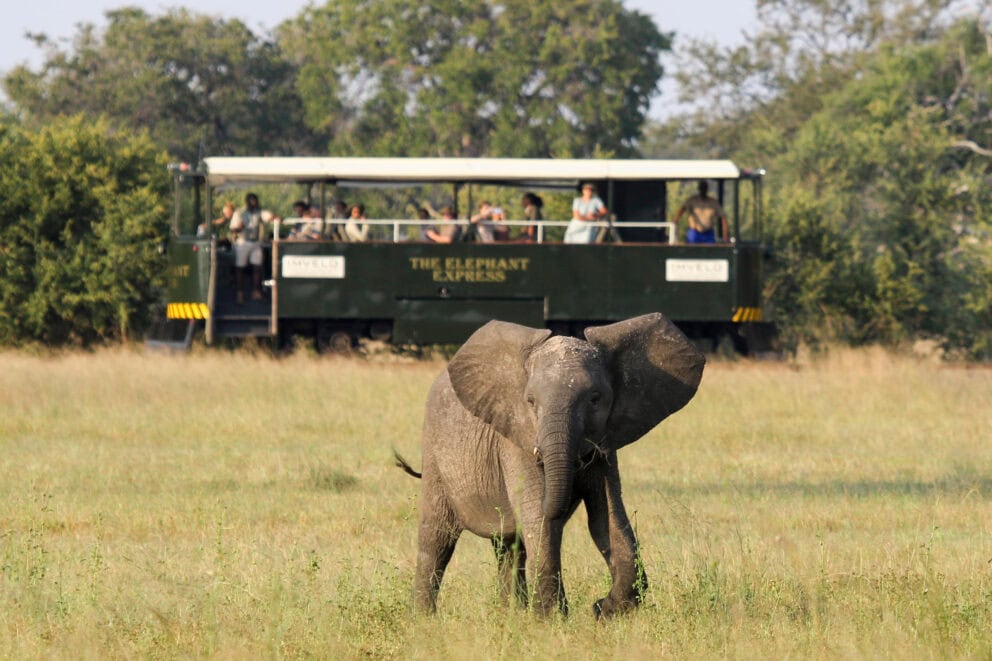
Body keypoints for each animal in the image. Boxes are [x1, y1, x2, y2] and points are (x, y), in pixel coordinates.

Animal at [395, 312, 705, 618]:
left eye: (595, 399)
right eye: (530, 401)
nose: (596, 604)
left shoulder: (605, 443)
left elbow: (607, 517)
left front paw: (606, 611)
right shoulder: (518, 438)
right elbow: (538, 517)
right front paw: (552, 618)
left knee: (510, 546)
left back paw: (511, 615)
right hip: (435, 455)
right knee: (438, 537)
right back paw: (424, 618)